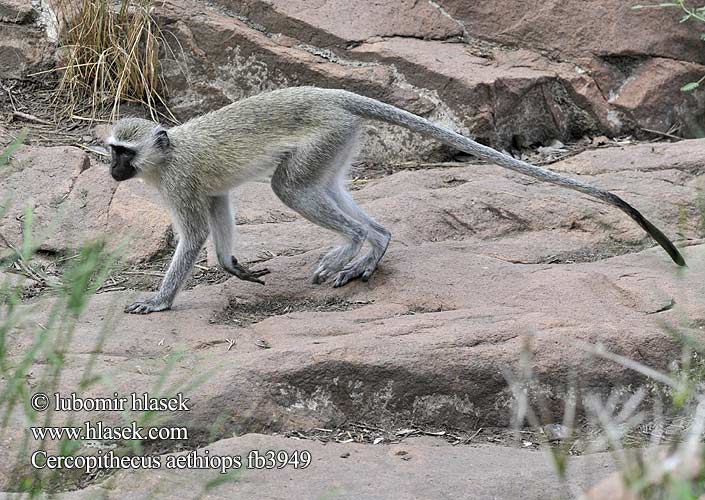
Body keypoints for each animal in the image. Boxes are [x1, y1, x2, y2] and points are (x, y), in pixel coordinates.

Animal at [107, 86, 684, 312]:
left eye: (123, 152)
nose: (112, 171)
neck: (165, 155)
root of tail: (330, 94)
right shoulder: (204, 188)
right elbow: (220, 210)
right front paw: (232, 266)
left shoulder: (180, 183)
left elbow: (194, 234)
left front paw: (160, 300)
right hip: (337, 143)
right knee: (326, 189)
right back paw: (376, 243)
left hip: (324, 137)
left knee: (291, 189)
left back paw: (355, 246)